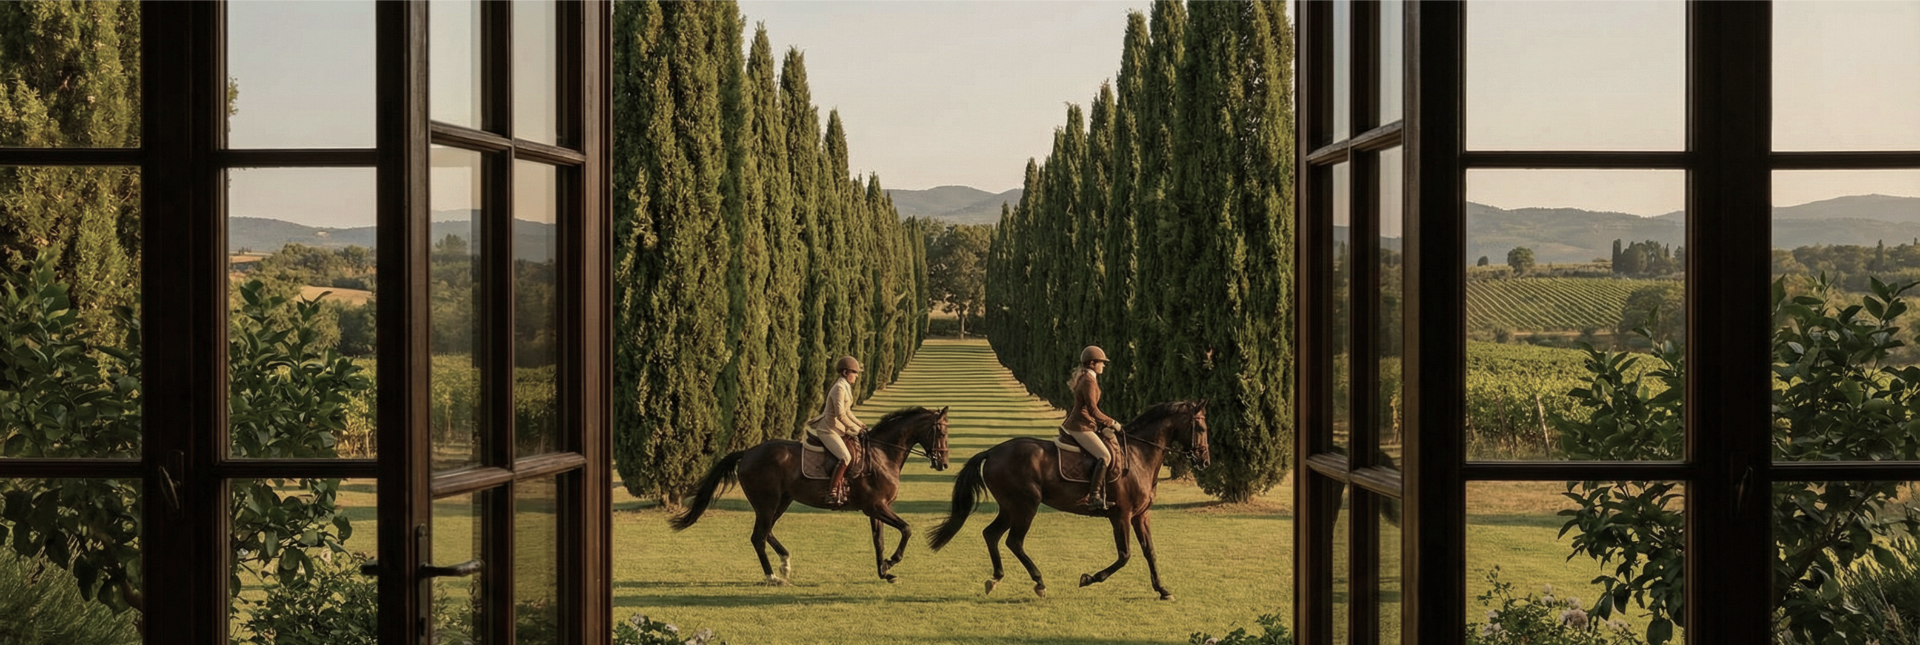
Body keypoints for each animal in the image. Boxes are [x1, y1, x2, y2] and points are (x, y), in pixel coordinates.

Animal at [669, 406, 951, 585]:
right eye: (941, 432)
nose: (944, 463)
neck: (882, 453)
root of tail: (748, 452)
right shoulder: (877, 507)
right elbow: (907, 529)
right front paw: (892, 562)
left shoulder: (875, 510)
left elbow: (878, 541)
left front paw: (884, 571)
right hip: (767, 502)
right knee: (758, 536)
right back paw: (772, 577)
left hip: (781, 501)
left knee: (767, 532)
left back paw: (785, 563)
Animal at [926, 400, 1211, 600]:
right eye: (1202, 428)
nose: (1205, 461)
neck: (1139, 454)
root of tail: (993, 451)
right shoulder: (1121, 516)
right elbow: (1124, 555)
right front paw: (1088, 578)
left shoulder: (1141, 515)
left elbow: (1149, 552)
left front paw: (1163, 590)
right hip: (1025, 505)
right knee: (1014, 541)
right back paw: (1039, 583)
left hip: (1009, 507)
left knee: (991, 534)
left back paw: (996, 578)